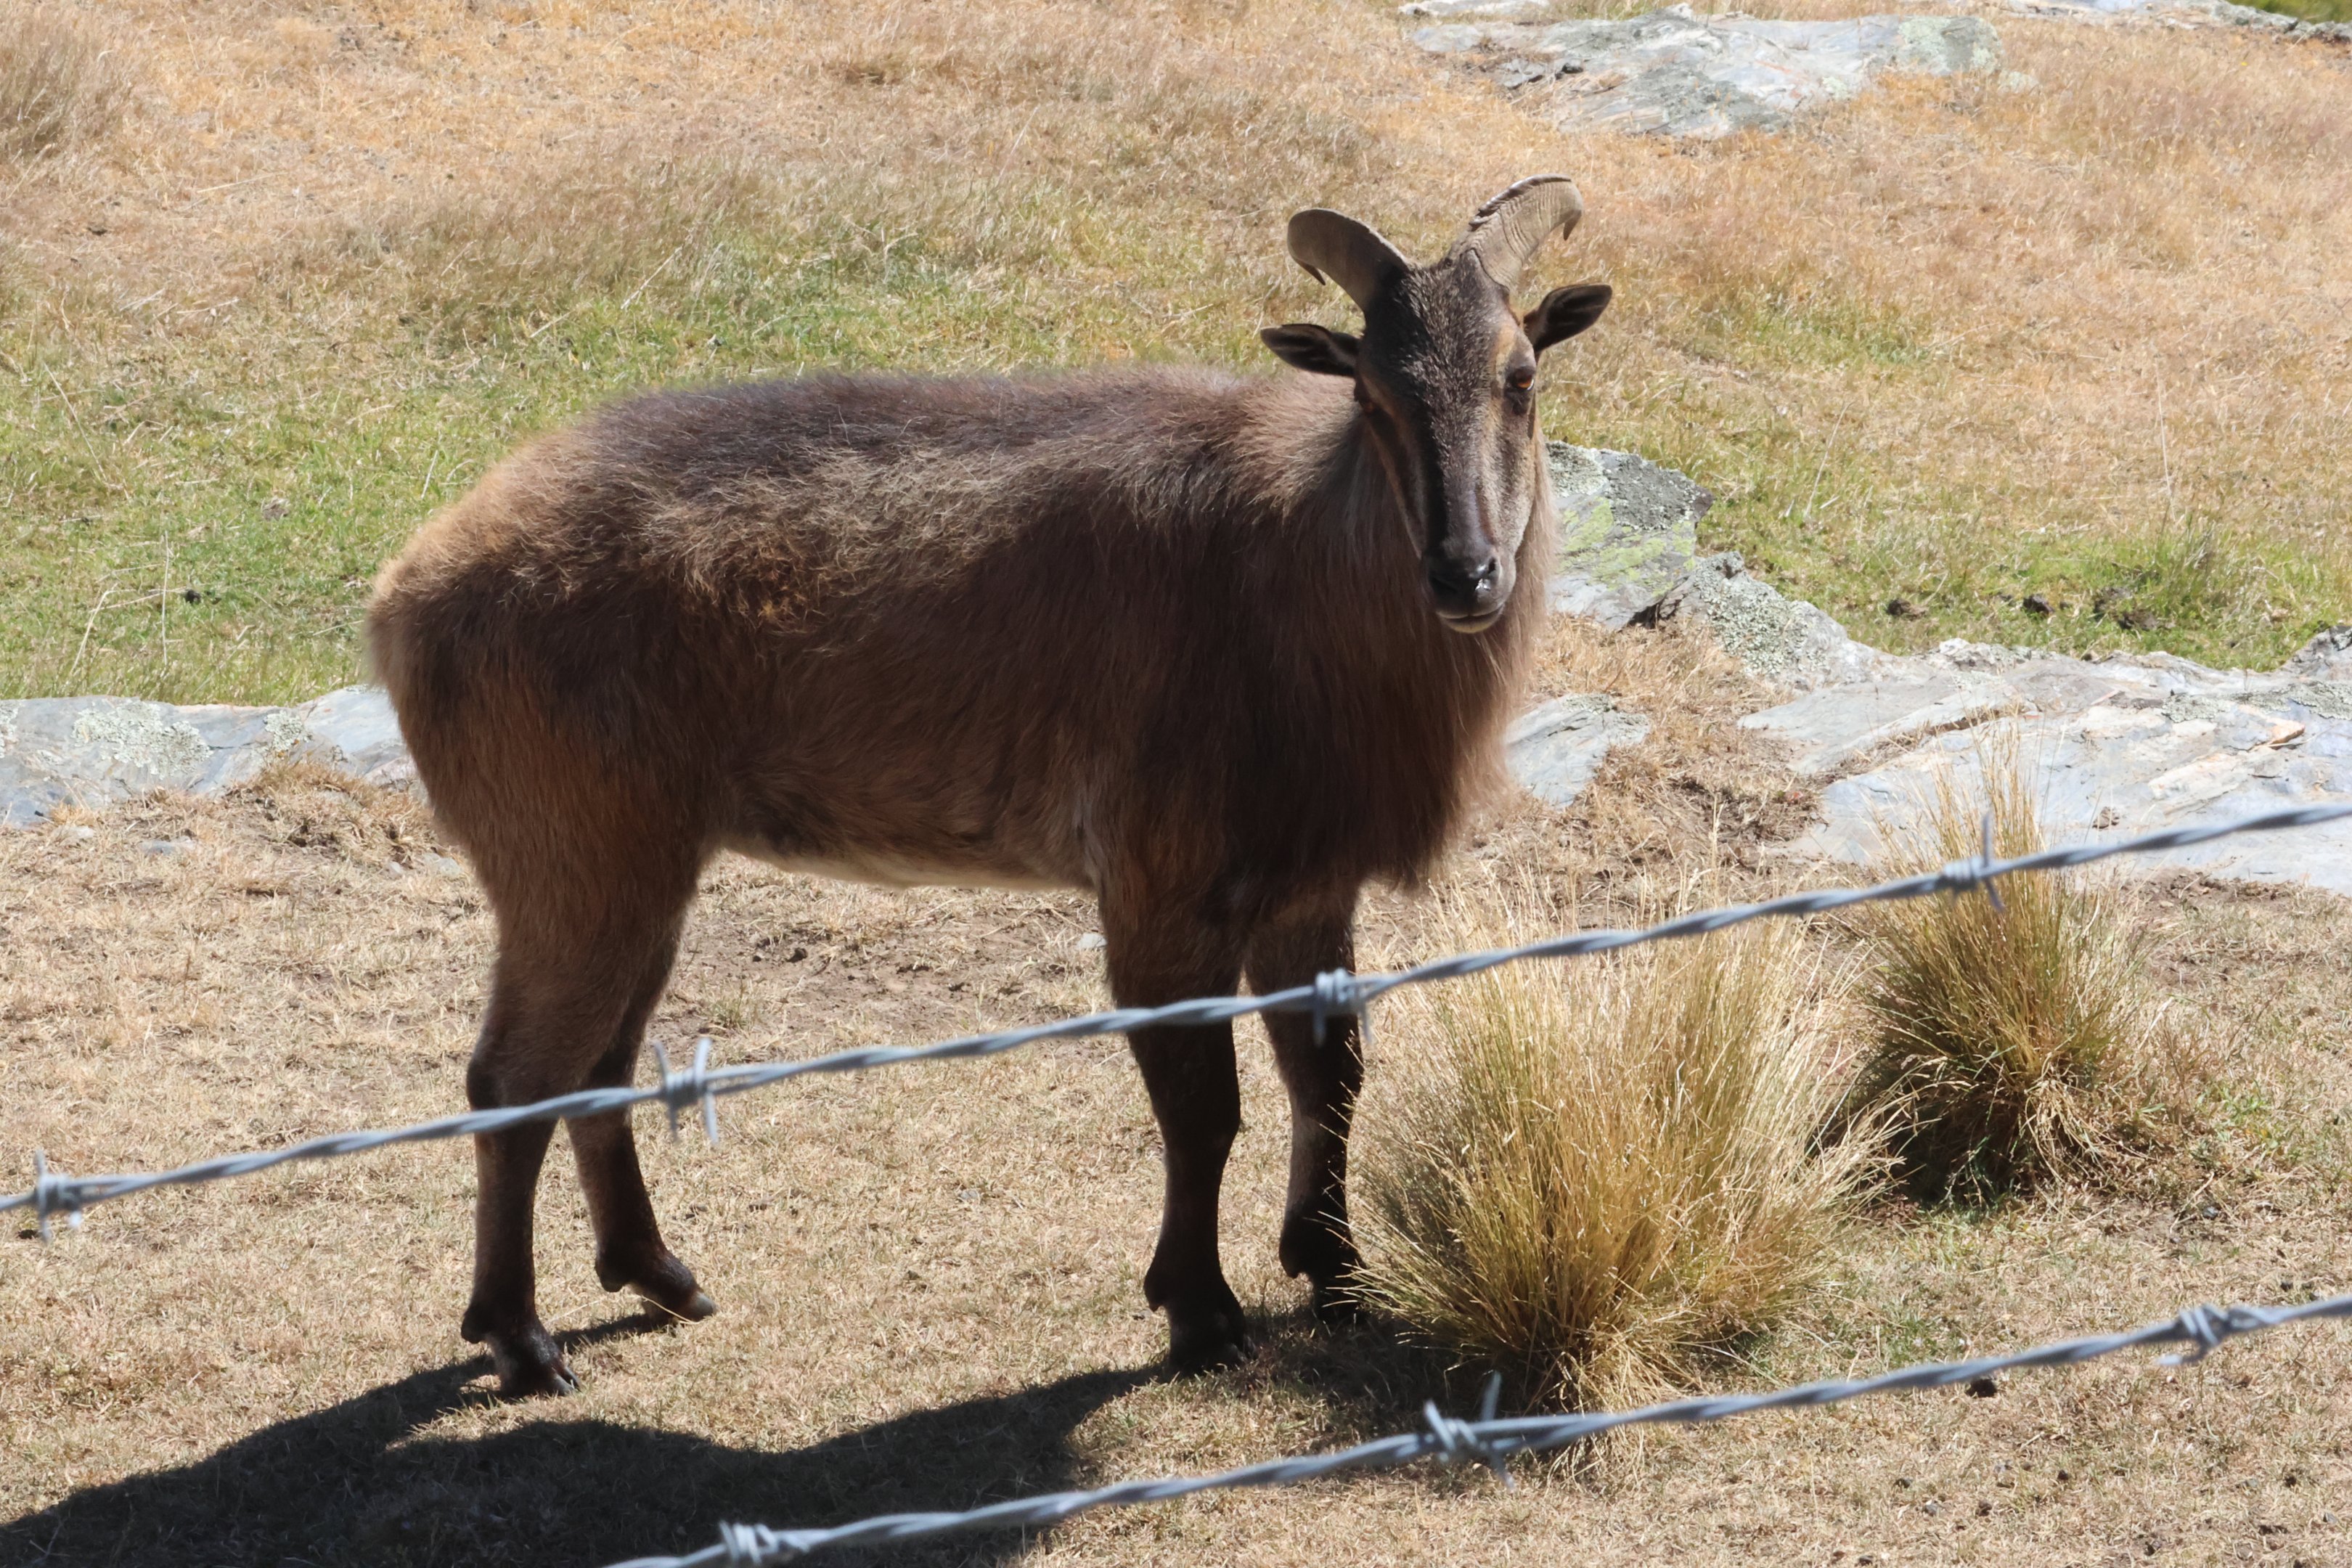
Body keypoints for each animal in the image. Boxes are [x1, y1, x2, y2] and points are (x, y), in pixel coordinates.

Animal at [366, 176, 1611, 1396]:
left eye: (1521, 376)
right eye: (1373, 393)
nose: (1465, 573)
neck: (1295, 582)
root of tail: (406, 591)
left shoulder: (1307, 887)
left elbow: (1331, 1077)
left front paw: (1335, 1272)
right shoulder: (1161, 886)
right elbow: (1203, 1111)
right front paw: (1200, 1311)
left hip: (641, 871)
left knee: (601, 1066)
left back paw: (661, 1275)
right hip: (568, 859)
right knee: (511, 1079)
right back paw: (521, 1338)